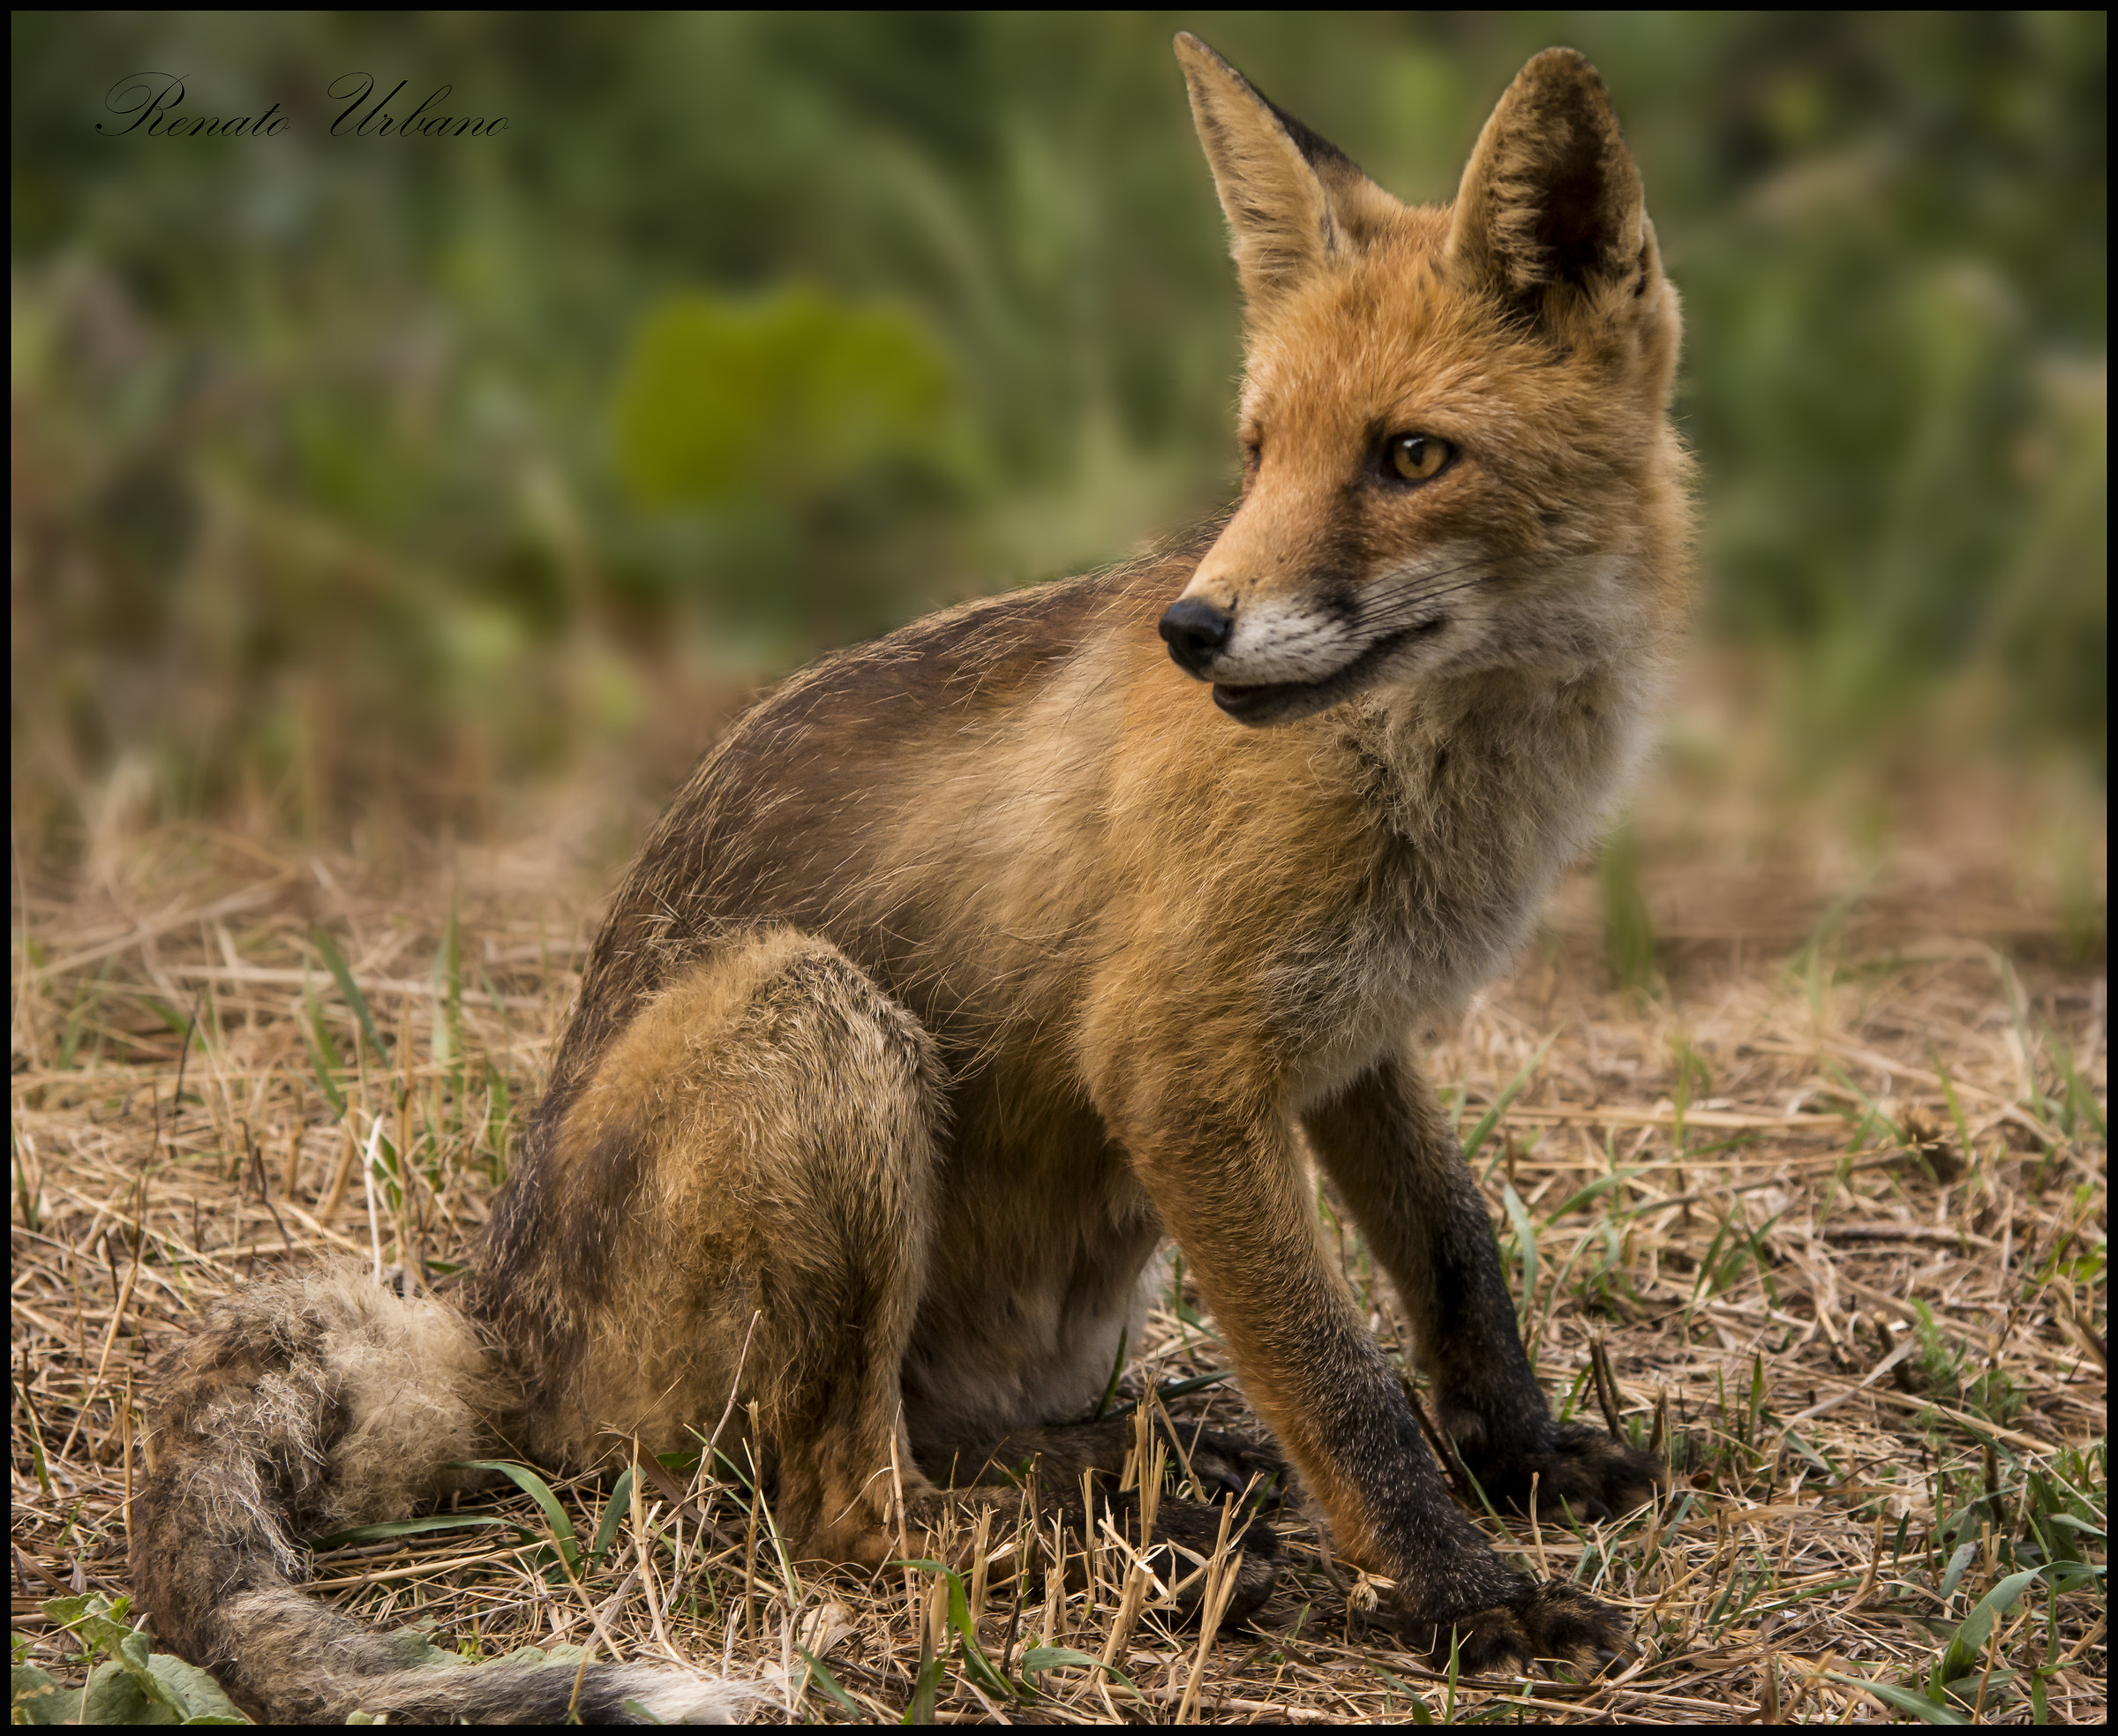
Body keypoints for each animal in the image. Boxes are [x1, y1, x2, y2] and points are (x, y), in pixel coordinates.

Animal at [131, 33, 1688, 1723]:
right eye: (1259, 455)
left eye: (1411, 457)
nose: (1194, 632)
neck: (1450, 783)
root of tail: (495, 1333)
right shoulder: (1178, 1069)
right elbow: (1343, 1390)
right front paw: (1470, 1595)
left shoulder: (1351, 1037)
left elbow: (1459, 1255)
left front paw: (1521, 1455)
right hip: (825, 1030)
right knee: (836, 1498)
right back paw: (1111, 1558)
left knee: (929, 1446)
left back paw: (1125, 1471)